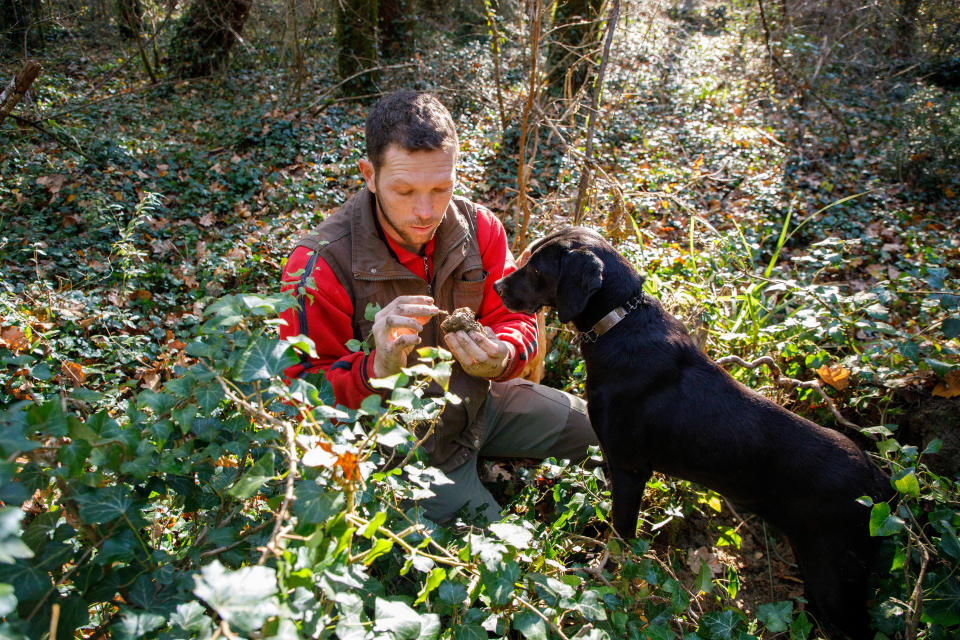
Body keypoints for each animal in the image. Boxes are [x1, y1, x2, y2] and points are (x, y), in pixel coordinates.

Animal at [496, 228, 892, 636]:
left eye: (537, 268)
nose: (496, 286)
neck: (620, 321)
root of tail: (880, 484)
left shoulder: (629, 470)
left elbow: (620, 537)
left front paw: (606, 576)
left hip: (835, 579)